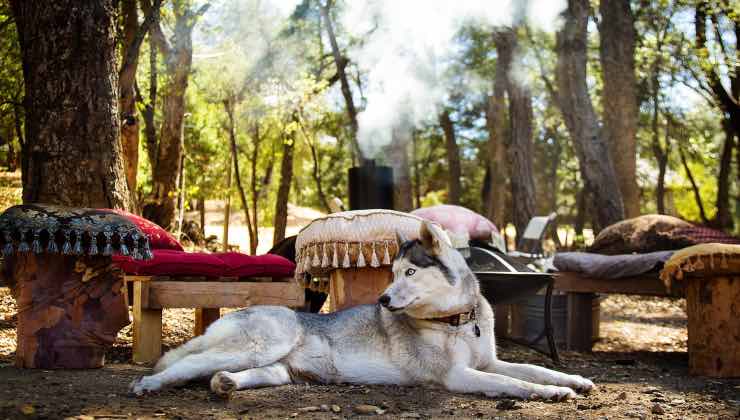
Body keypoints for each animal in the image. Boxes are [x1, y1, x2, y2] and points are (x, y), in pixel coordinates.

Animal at [130, 221, 592, 398]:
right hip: (262, 343)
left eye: (409, 272)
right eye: (392, 274)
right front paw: (550, 394)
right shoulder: (459, 376)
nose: (382, 301)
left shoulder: (489, 362)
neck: (458, 322)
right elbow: (514, 384)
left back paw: (225, 383)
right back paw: (150, 384)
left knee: (224, 373)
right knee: (185, 363)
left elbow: (533, 369)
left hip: (276, 368)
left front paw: (573, 380)